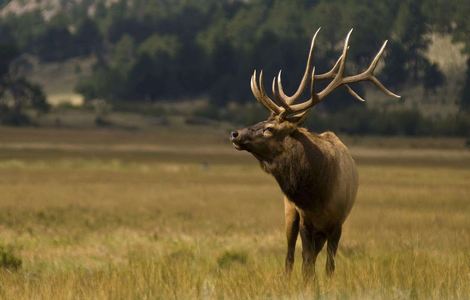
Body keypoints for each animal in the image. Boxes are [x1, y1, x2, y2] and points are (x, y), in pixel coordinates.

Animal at [229, 28, 398, 278]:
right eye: (262, 120)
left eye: (269, 128)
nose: (235, 134)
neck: (317, 195)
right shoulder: (305, 221)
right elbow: (306, 264)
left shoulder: (337, 223)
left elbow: (329, 266)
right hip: (290, 213)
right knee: (290, 256)